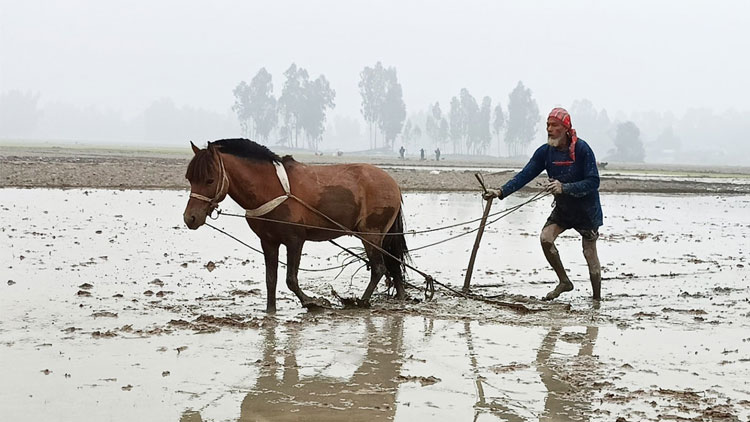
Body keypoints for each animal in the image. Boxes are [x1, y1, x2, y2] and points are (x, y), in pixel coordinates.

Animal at [182, 138, 410, 312]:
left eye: (210, 180)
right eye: (190, 178)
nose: (189, 218)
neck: (271, 188)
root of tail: (392, 183)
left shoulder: (295, 240)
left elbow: (290, 279)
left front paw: (312, 302)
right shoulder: (268, 242)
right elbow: (271, 279)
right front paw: (270, 311)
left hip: (371, 234)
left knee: (379, 268)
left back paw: (361, 302)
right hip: (381, 235)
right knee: (393, 262)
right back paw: (400, 296)